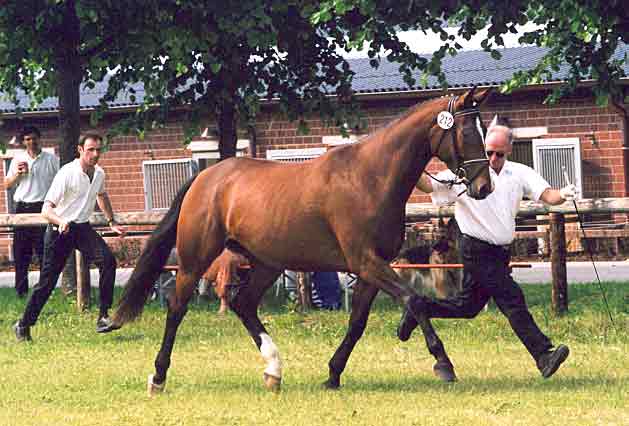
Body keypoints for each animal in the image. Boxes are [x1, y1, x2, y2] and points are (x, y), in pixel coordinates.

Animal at [103, 87, 494, 396]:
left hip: (267, 263)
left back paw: (273, 371)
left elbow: (358, 323)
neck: (370, 177)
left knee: (243, 304)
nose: (484, 187)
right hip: (195, 259)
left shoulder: (371, 268)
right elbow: (414, 299)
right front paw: (443, 363)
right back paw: (158, 377)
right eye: (466, 131)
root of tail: (207, 177)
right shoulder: (366, 261)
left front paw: (333, 374)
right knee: (177, 307)